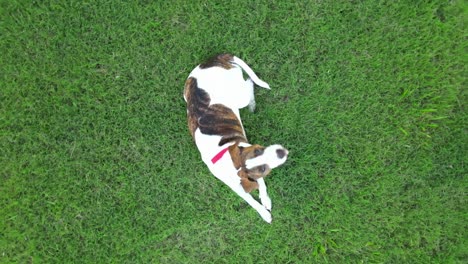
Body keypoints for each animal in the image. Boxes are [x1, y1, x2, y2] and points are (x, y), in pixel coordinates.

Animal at [184, 53, 288, 223]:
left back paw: (252, 103)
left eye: (259, 150)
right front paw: (263, 211)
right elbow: (251, 199)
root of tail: (215, 59)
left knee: (249, 82)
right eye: (263, 168)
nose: (281, 152)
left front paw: (265, 199)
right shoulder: (237, 186)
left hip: (238, 96)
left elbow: (261, 185)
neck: (231, 164)